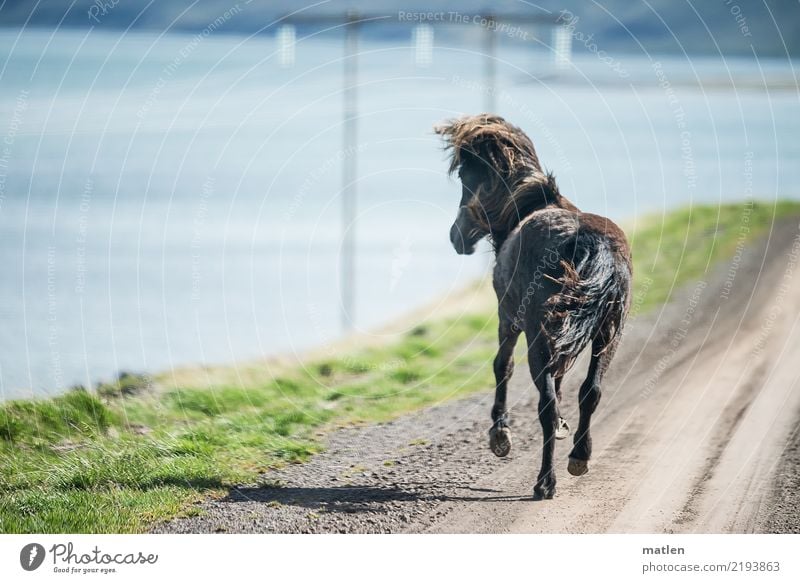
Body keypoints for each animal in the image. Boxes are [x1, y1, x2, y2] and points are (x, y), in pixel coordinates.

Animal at [438, 115, 632, 502]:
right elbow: (562, 380)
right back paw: (578, 457)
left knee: (546, 403)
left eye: (466, 177)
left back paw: (545, 481)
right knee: (591, 391)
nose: (456, 236)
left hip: (539, 336)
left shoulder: (508, 319)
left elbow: (503, 366)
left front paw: (500, 435)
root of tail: (588, 241)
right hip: (608, 331)